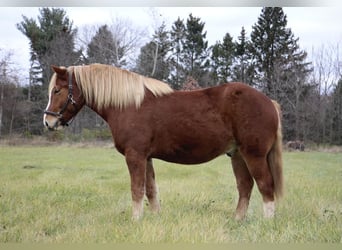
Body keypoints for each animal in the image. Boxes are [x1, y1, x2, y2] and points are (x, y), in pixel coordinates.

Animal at [43, 63, 284, 220]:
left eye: (57, 90)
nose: (48, 122)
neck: (129, 105)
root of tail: (269, 102)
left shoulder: (135, 156)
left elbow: (137, 189)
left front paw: (135, 221)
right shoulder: (146, 157)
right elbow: (151, 190)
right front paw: (155, 218)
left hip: (254, 155)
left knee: (265, 185)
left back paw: (267, 222)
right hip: (237, 155)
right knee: (245, 186)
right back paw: (237, 220)